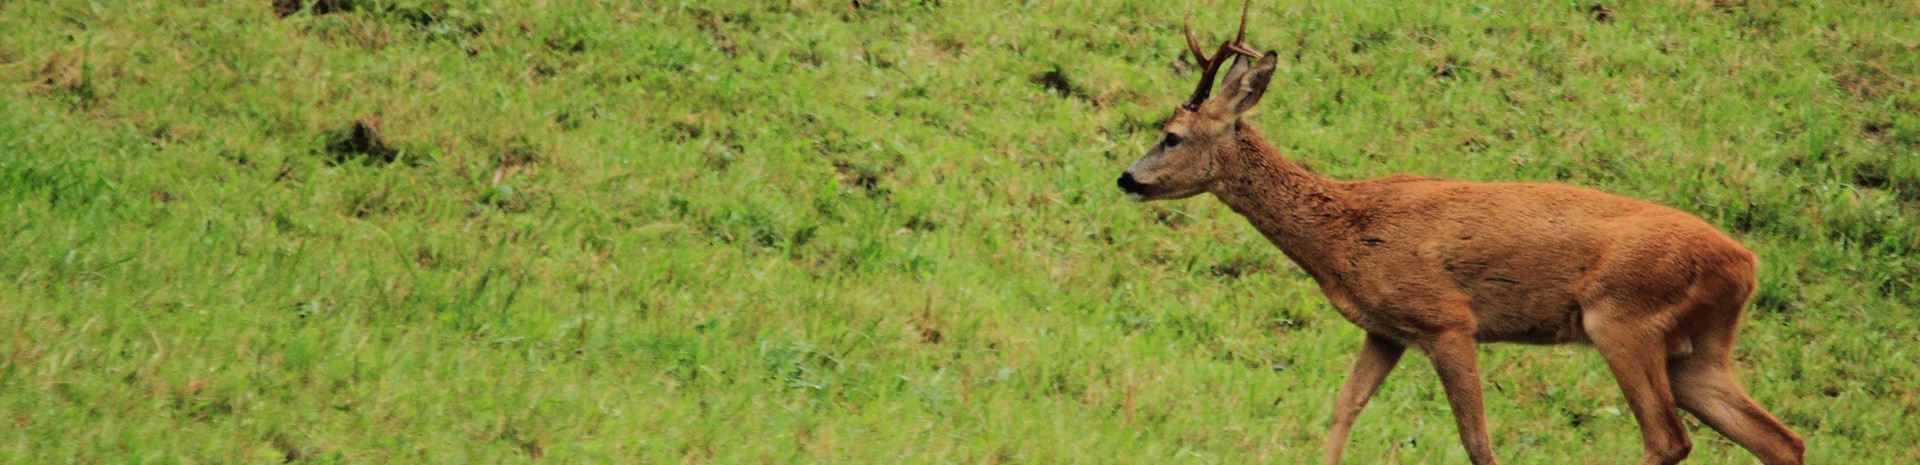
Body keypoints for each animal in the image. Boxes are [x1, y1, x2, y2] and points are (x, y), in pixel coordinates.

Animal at [1121, 4, 1804, 465]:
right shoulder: (1385, 329)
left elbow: (1476, 440)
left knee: (1668, 438)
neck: (1343, 232)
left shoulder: (1446, 317)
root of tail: (1747, 265)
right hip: (1695, 350)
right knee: (1781, 438)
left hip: (1622, 318)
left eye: (1171, 136)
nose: (1128, 178)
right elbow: (1343, 410)